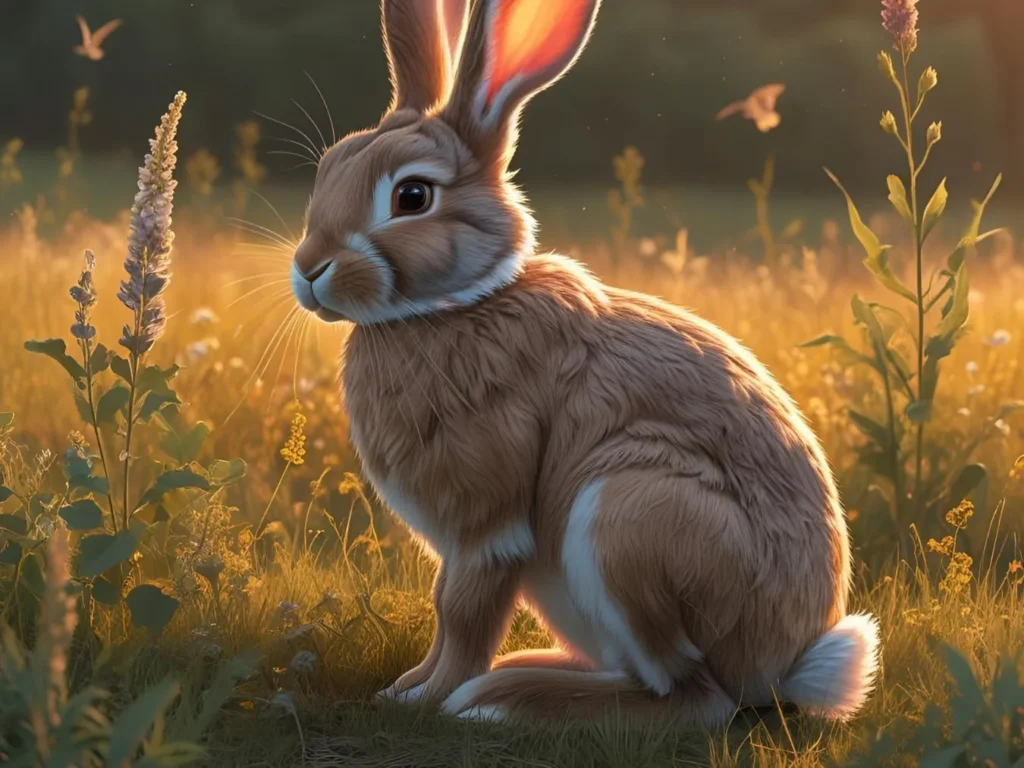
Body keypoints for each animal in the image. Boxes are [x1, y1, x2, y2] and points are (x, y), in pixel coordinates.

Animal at [289, 0, 880, 726]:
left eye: (412, 197)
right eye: (329, 166)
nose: (309, 269)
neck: (454, 305)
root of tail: (785, 666)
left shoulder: (490, 524)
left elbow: (463, 613)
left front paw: (425, 700)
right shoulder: (462, 542)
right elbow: (446, 608)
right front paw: (402, 688)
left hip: (633, 514)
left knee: (694, 698)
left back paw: (504, 698)